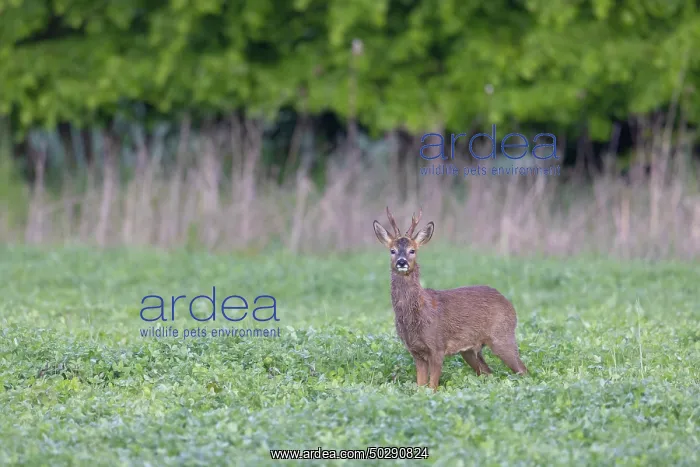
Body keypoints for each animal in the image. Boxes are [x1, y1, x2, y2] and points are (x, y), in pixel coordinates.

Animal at [373, 207, 527, 390]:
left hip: (502, 336)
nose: (402, 262)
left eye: (412, 250)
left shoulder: (437, 347)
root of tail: (509, 303)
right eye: (392, 250)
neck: (417, 315)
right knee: (488, 372)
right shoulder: (415, 351)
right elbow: (420, 387)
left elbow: (432, 387)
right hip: (470, 350)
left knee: (524, 370)